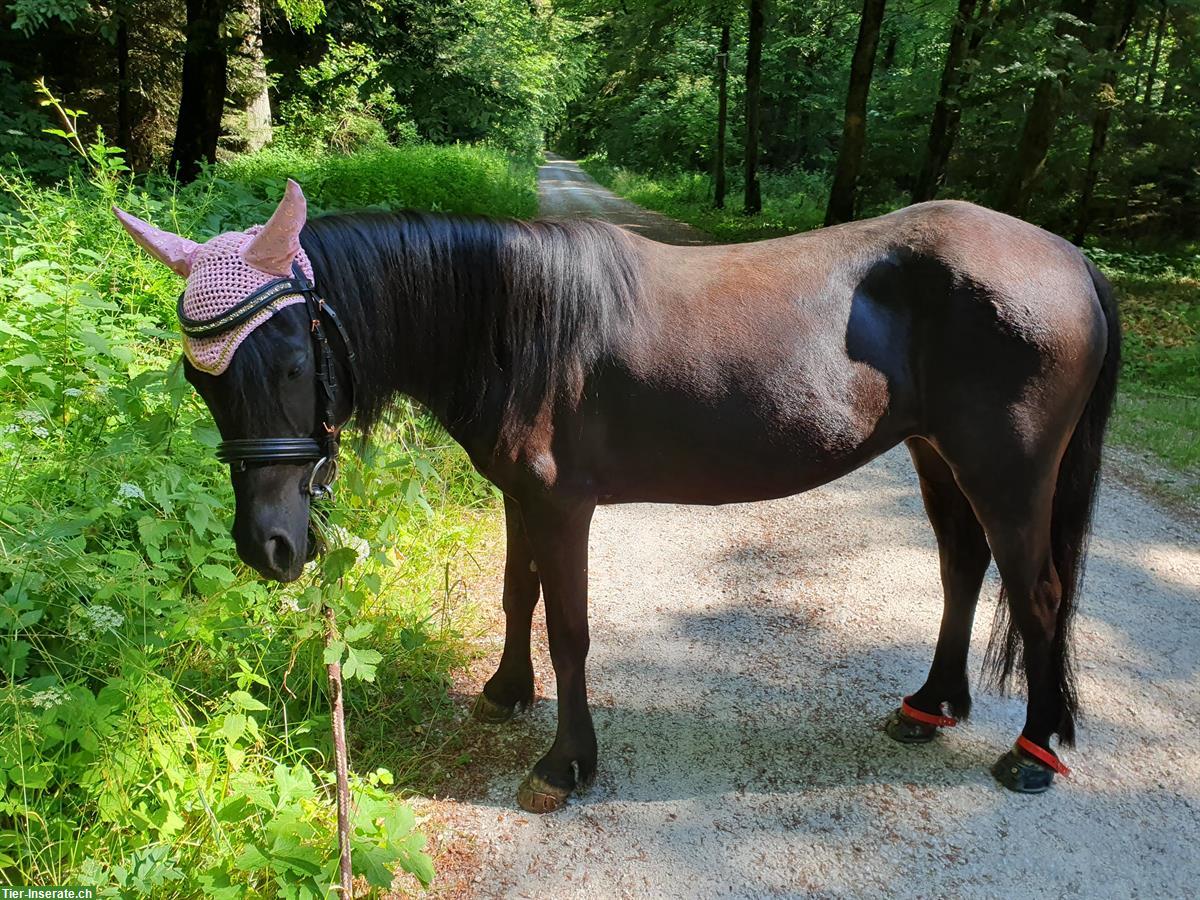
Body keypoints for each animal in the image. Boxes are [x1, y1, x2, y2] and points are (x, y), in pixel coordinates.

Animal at [169, 200, 1113, 816]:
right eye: (197, 380)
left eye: (294, 361)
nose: (267, 545)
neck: (509, 320)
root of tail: (1072, 260)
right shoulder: (521, 497)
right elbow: (518, 596)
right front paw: (505, 692)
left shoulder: (564, 506)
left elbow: (569, 628)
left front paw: (565, 765)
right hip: (937, 456)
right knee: (962, 567)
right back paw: (931, 706)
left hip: (1009, 475)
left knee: (1039, 597)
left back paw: (1032, 752)